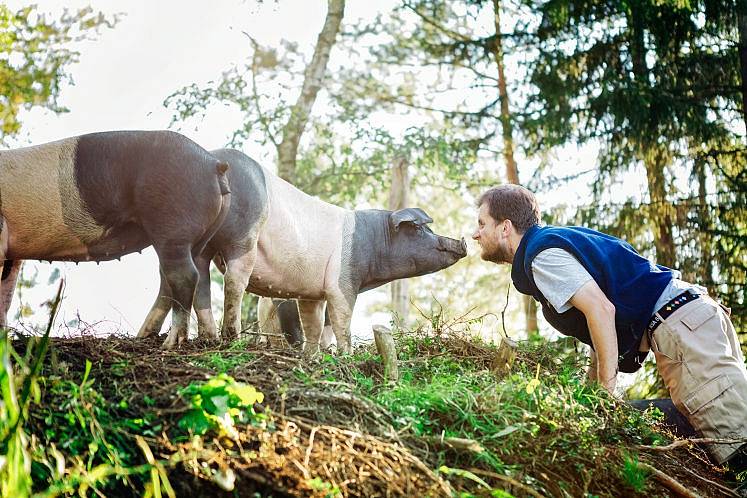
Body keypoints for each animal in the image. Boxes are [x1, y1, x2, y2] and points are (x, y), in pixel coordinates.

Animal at [0, 128, 231, 348]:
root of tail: (213, 164)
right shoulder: (13, 254)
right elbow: (6, 295)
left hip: (172, 228)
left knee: (185, 276)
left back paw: (170, 343)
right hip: (199, 237)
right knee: (185, 278)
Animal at [141, 149, 468, 354]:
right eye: (419, 229)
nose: (461, 242)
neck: (374, 240)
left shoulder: (313, 293)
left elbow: (315, 324)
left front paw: (315, 356)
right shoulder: (342, 283)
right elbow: (341, 320)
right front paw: (346, 355)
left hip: (192, 243)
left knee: (186, 282)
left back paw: (175, 338)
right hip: (240, 238)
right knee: (233, 284)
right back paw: (229, 340)